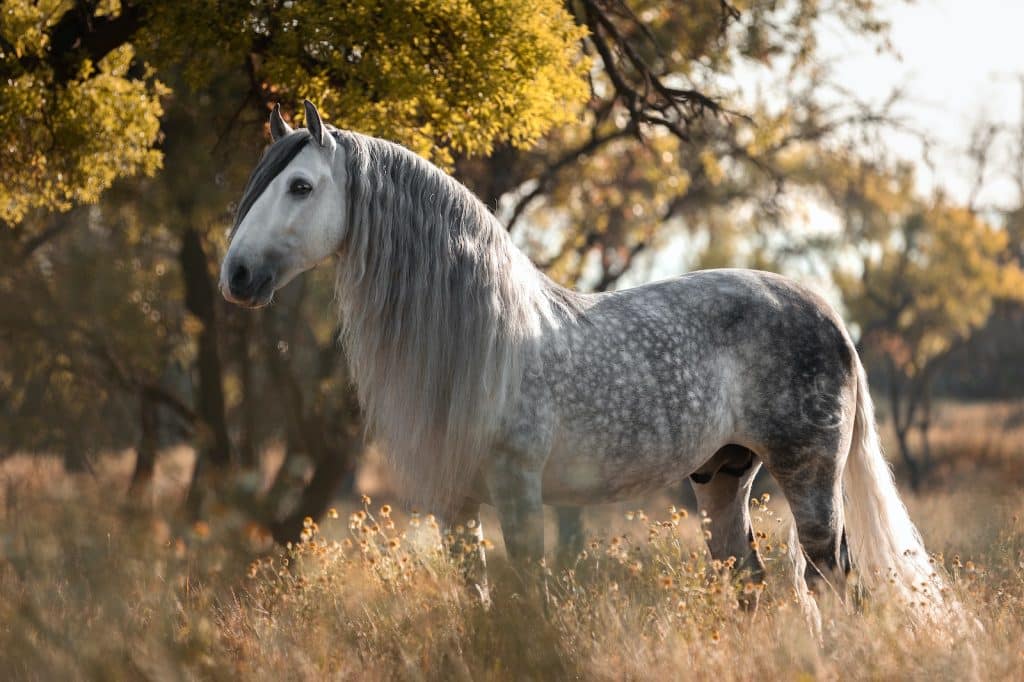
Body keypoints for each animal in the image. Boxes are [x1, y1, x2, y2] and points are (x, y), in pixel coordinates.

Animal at [220, 102, 946, 622]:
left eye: (301, 186)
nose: (236, 275)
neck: (485, 340)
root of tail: (826, 313)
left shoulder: (518, 490)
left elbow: (528, 599)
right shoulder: (455, 503)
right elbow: (481, 602)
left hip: (810, 478)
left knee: (833, 584)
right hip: (723, 475)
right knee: (750, 579)